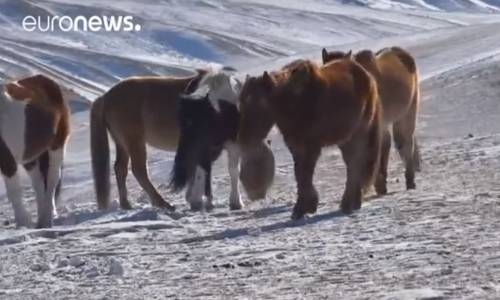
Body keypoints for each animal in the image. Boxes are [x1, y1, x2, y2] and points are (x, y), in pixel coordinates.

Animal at [0, 74, 71, 227]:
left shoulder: (7, 159)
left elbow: (14, 191)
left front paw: (23, 223)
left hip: (56, 146)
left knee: (52, 180)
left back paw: (46, 219)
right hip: (30, 156)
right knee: (38, 183)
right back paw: (41, 219)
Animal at [238, 58, 382, 219]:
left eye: (260, 104)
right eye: (241, 103)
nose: (244, 139)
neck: (296, 102)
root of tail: (368, 76)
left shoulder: (311, 147)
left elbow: (305, 174)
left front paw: (303, 207)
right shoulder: (296, 147)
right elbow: (300, 174)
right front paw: (305, 207)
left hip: (357, 134)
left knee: (354, 164)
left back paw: (348, 203)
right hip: (345, 140)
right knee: (352, 164)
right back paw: (354, 202)